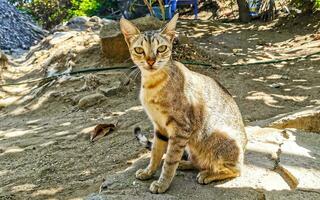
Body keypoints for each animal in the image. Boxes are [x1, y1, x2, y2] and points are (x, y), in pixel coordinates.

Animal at [120, 13, 248, 193]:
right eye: (139, 50)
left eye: (161, 48)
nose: (151, 61)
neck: (152, 85)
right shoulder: (159, 127)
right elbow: (155, 153)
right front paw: (148, 171)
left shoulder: (180, 128)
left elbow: (169, 161)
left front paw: (162, 183)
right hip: (191, 146)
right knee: (197, 161)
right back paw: (186, 164)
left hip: (221, 138)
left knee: (236, 170)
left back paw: (208, 174)